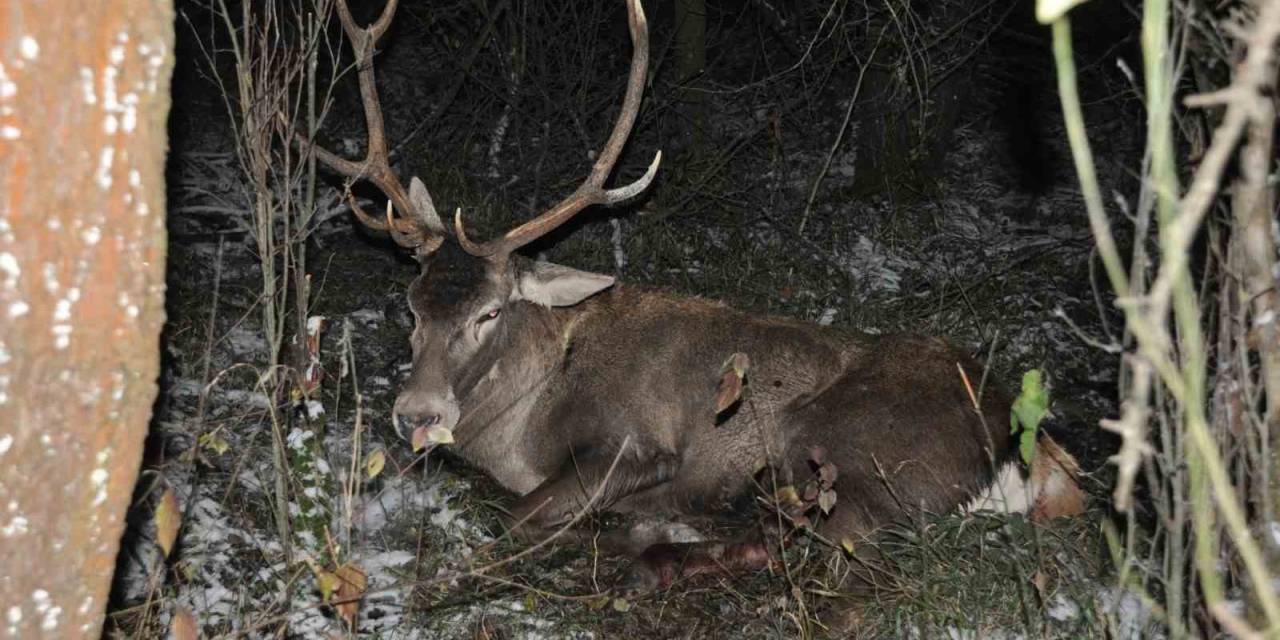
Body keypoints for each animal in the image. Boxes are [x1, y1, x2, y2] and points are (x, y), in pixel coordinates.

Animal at [307, 0, 1080, 588]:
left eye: (489, 312)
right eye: (413, 305)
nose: (417, 414)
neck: (522, 420)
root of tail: (1025, 447)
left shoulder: (636, 444)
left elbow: (519, 515)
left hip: (844, 444)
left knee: (827, 545)